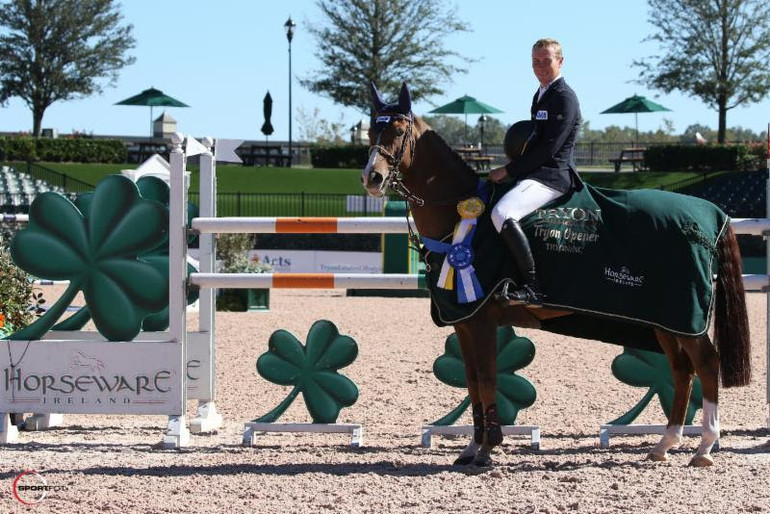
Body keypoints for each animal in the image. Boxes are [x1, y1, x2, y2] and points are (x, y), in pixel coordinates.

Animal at [362, 83, 752, 464]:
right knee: (682, 369)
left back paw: (704, 447)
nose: (372, 177)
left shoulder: (483, 318)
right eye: (370, 130)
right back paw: (665, 444)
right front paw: (472, 447)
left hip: (684, 317)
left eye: (399, 131)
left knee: (707, 363)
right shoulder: (465, 320)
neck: (461, 216)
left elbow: (486, 378)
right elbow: (472, 381)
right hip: (665, 321)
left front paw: (488, 449)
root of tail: (712, 212)